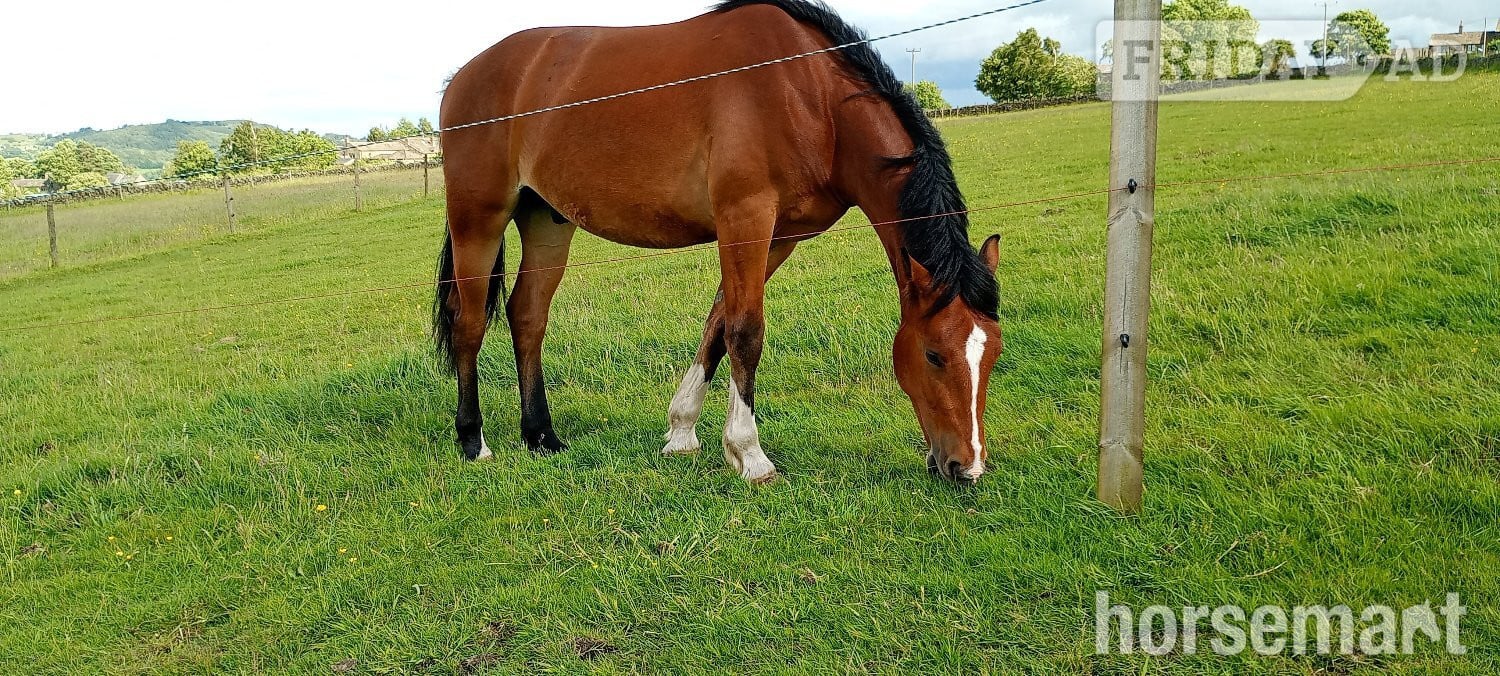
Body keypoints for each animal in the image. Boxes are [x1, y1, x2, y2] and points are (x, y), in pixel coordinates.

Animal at [434, 0, 1002, 484]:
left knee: (528, 316)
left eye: (993, 353)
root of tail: (464, 75)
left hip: (547, 221)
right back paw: (473, 441)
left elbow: (718, 323)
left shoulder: (780, 235)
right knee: (468, 321)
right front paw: (750, 454)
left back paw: (540, 435)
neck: (808, 94)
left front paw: (682, 431)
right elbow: (746, 332)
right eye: (933, 355)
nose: (966, 467)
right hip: (478, 219)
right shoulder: (744, 218)